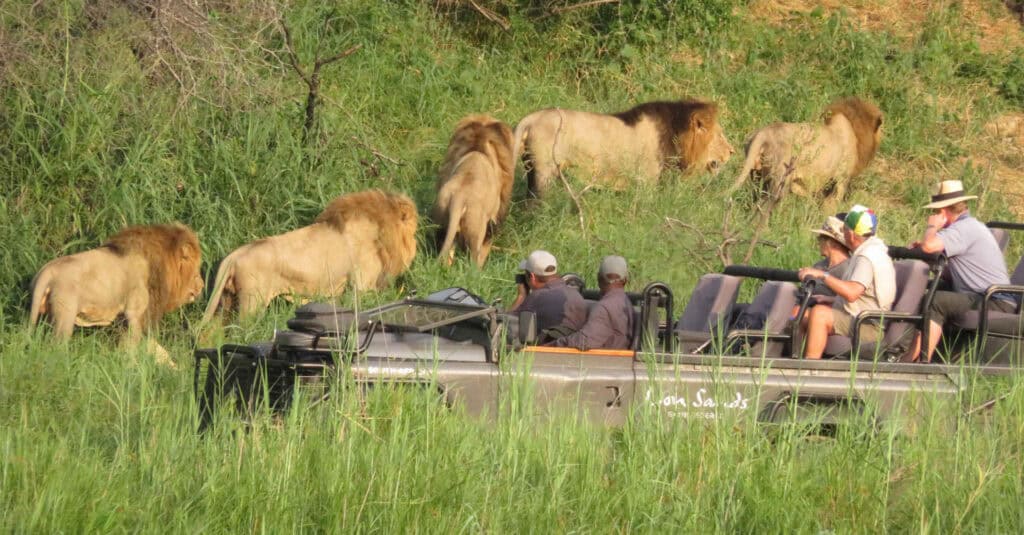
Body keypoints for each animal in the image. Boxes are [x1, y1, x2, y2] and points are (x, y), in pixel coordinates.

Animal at [29, 223, 204, 344]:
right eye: (196, 270)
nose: (202, 286)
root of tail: (47, 271)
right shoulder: (135, 313)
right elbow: (133, 344)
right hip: (65, 315)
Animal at [202, 189, 418, 322]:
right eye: (413, 231)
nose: (417, 241)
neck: (380, 231)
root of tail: (233, 256)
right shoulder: (362, 285)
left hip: (225, 302)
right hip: (252, 303)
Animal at [433, 114, 515, 267]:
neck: (478, 146)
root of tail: (460, 197)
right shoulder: (494, 216)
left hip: (442, 217)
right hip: (477, 228)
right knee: (475, 260)